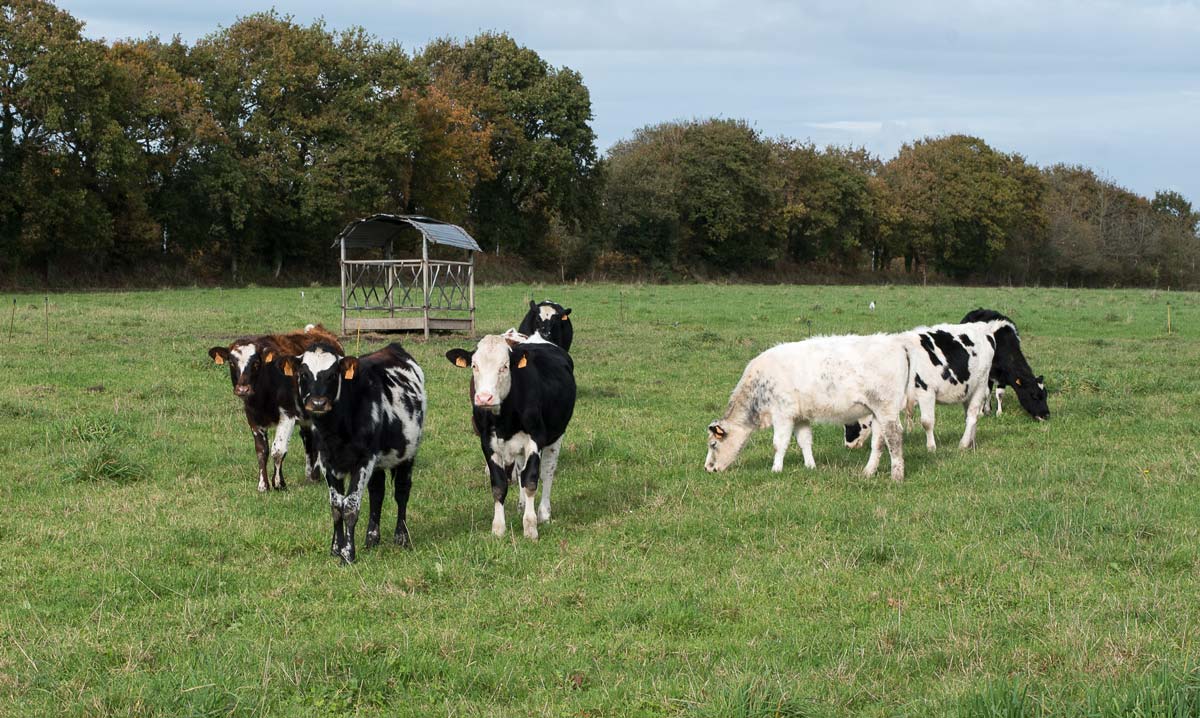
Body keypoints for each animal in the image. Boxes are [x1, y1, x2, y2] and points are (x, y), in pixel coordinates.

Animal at [207, 326, 343, 494]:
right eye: (232, 362)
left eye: (256, 363)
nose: (243, 389)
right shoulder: (253, 418)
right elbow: (261, 451)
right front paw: (263, 485)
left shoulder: (288, 415)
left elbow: (278, 450)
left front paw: (278, 483)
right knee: (308, 439)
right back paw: (311, 475)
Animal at [279, 340, 427, 566]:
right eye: (303, 373)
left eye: (333, 374)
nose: (318, 403)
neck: (335, 429)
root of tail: (394, 347)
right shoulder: (327, 461)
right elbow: (336, 506)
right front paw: (335, 548)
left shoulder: (364, 460)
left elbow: (350, 506)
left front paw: (348, 554)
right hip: (378, 462)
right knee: (377, 493)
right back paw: (372, 538)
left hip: (408, 453)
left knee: (402, 491)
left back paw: (401, 537)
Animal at [451, 333, 580, 542]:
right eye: (474, 366)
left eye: (504, 366)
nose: (484, 398)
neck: (504, 421)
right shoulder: (488, 444)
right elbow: (499, 485)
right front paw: (498, 528)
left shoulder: (535, 440)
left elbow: (531, 481)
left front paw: (530, 527)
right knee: (520, 471)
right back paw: (521, 505)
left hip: (556, 436)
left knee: (548, 472)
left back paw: (544, 512)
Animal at [700, 336, 907, 485]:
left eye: (713, 444)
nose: (707, 469)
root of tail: (895, 343)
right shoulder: (800, 417)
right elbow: (805, 441)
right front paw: (810, 466)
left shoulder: (783, 415)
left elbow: (779, 444)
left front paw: (776, 469)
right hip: (877, 413)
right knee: (879, 441)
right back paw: (868, 471)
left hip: (886, 408)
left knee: (894, 437)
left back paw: (896, 476)